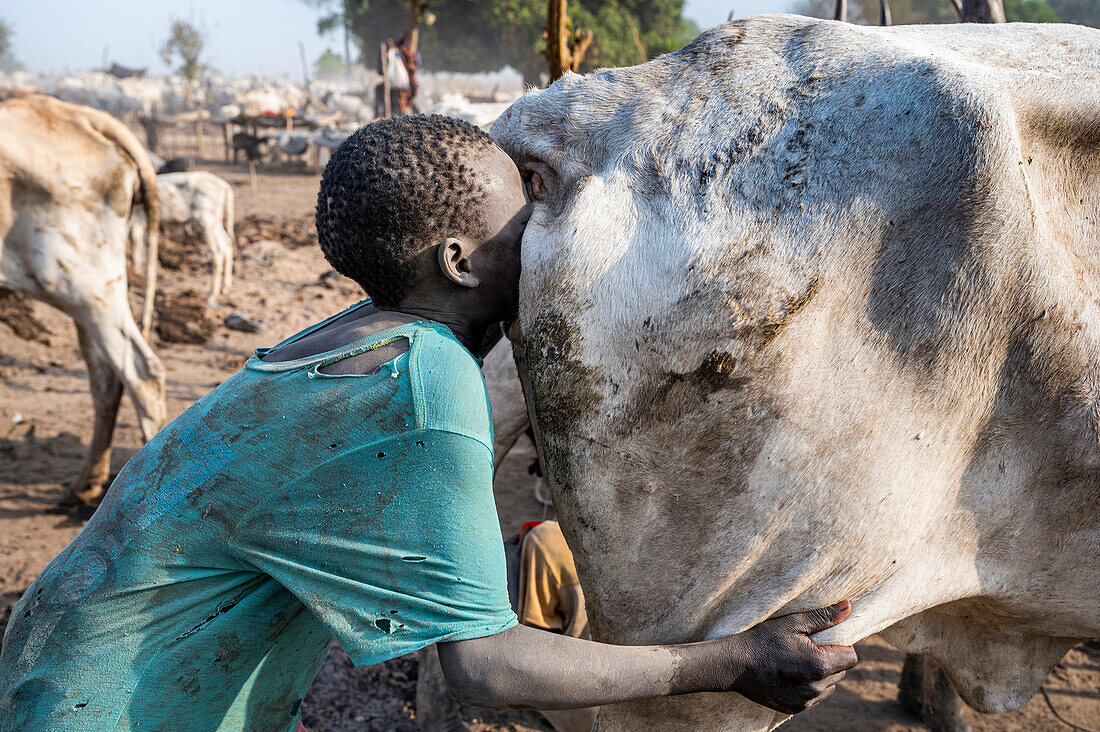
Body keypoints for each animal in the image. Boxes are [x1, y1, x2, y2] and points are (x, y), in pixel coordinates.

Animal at [0, 94, 167, 506]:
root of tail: (81, 115)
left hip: (82, 285)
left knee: (141, 373)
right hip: (89, 294)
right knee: (107, 378)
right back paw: (86, 485)